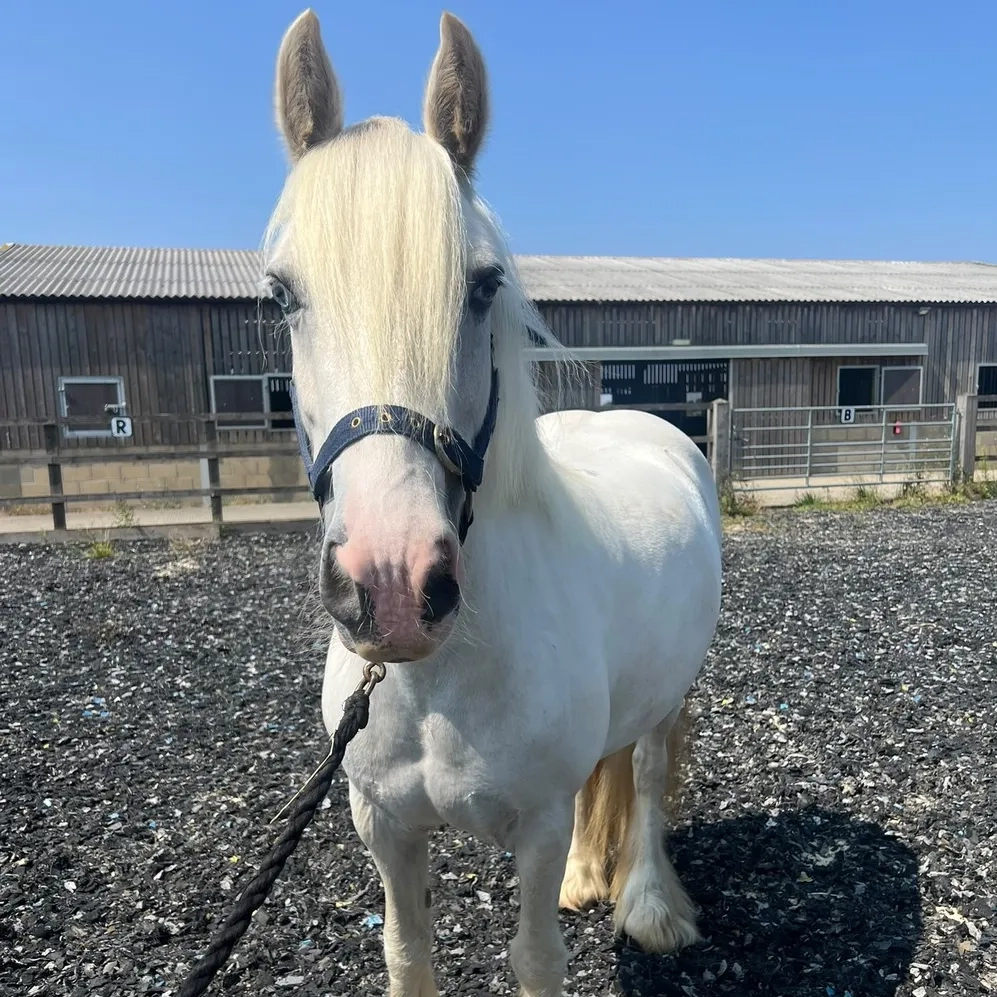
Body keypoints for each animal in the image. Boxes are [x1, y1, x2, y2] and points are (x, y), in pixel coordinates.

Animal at [262, 10, 723, 996]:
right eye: (280, 294)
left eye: (480, 287)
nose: (391, 586)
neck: (439, 679)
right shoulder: (382, 824)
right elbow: (408, 948)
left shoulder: (535, 827)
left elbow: (535, 955)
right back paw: (592, 876)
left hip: (669, 693)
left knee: (648, 776)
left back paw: (648, 903)